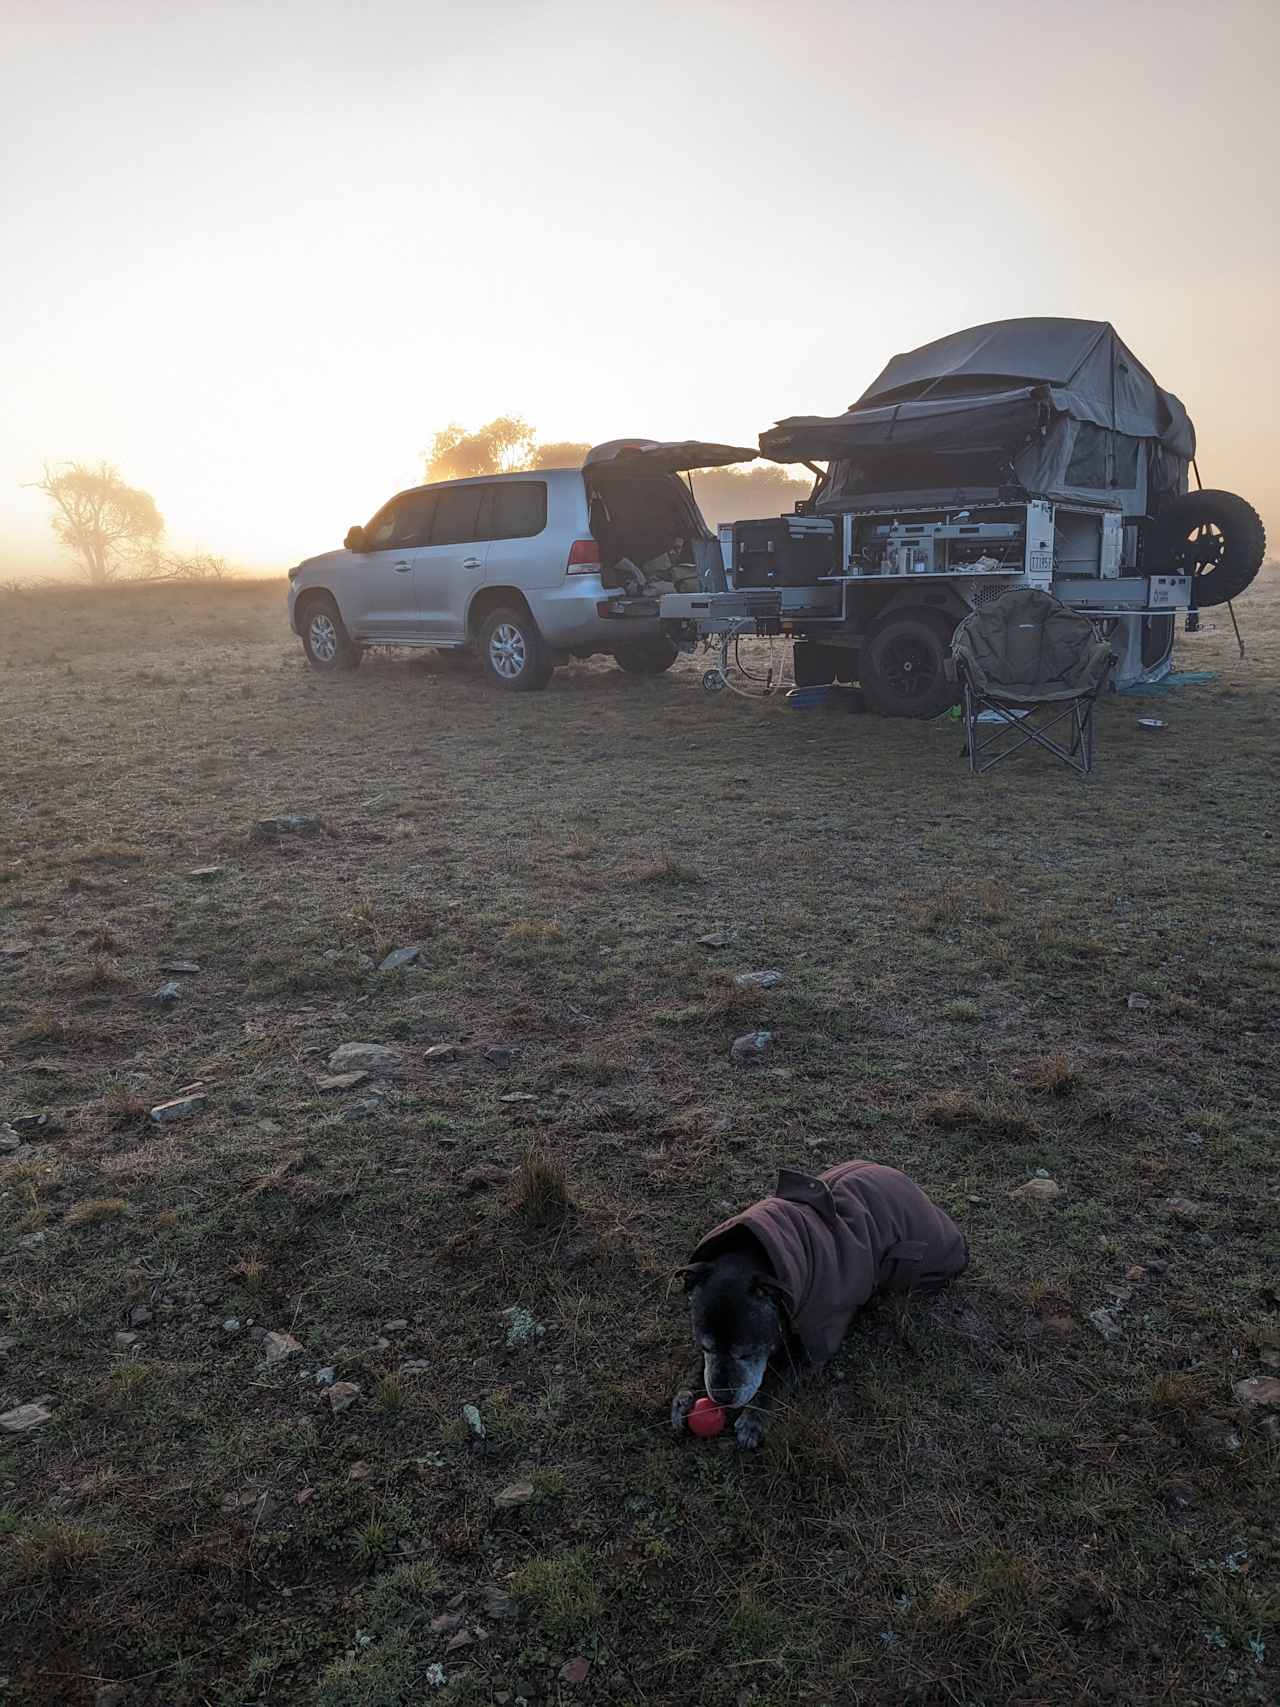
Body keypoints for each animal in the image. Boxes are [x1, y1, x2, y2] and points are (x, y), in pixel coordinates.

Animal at [675, 1153, 969, 1447]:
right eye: (705, 1347)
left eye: (747, 1352)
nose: (721, 1397)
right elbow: (699, 1367)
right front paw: (684, 1396)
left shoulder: (814, 1347)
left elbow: (778, 1378)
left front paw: (754, 1418)